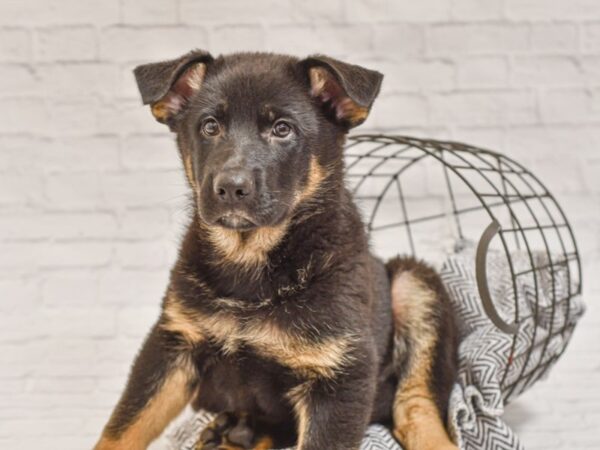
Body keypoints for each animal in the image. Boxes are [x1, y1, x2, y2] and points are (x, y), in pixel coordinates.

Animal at [94, 50, 458, 450]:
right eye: (210, 127)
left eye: (283, 129)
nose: (231, 188)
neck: (250, 262)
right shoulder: (173, 342)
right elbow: (122, 427)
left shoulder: (341, 375)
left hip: (413, 283)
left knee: (415, 407)